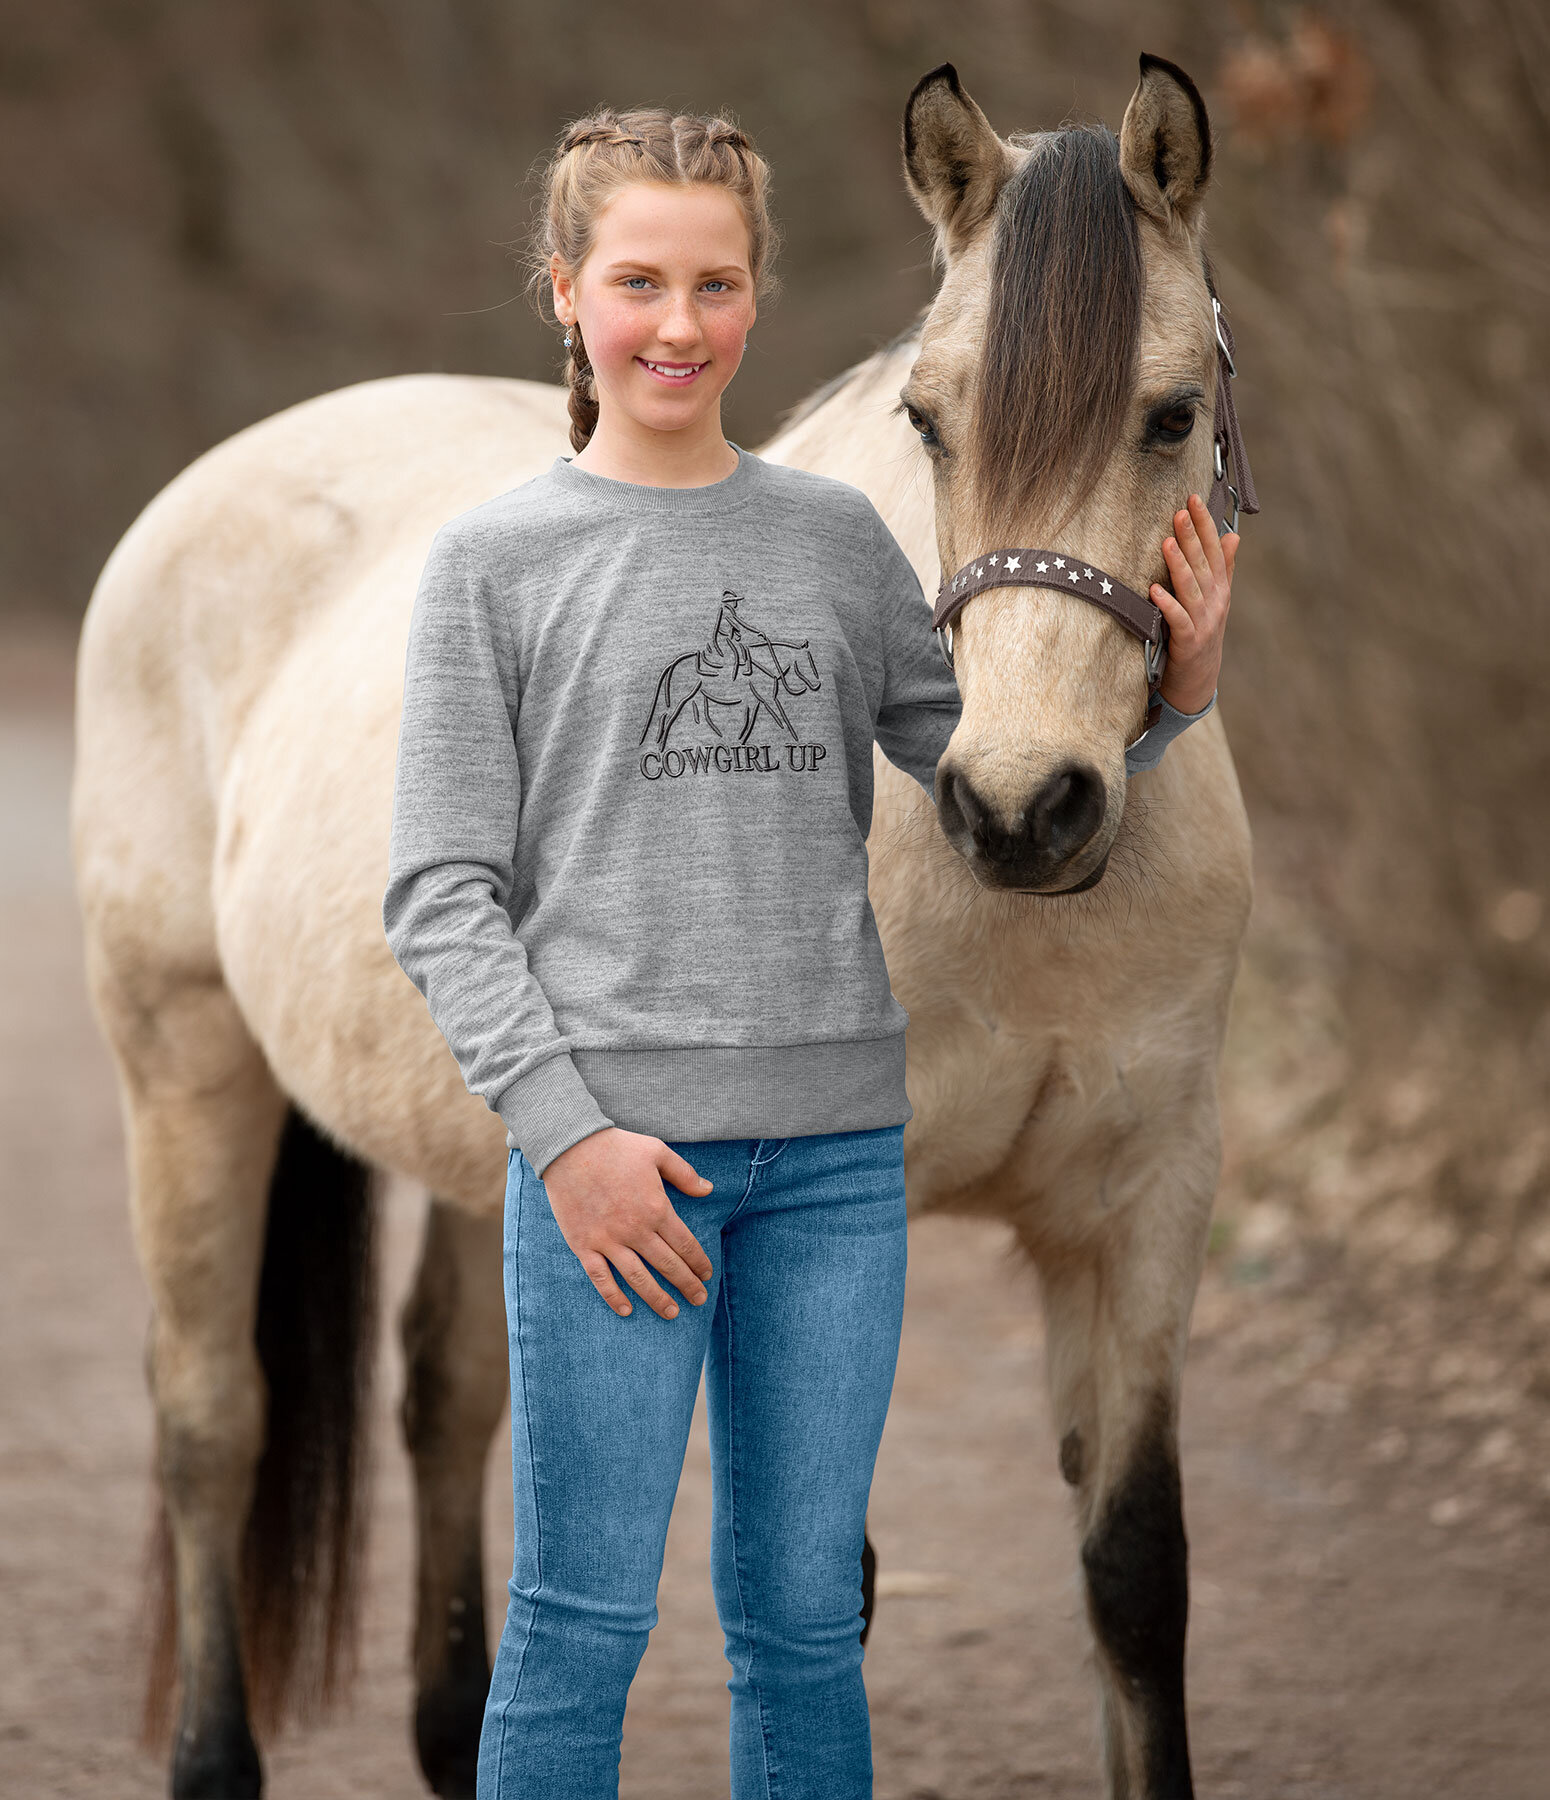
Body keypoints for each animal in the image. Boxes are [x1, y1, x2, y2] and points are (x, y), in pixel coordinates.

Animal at [72, 49, 1252, 1792]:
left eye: (1168, 414)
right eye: (928, 417)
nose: (1017, 806)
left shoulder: (1141, 1215)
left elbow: (1134, 1580)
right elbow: (827, 1577)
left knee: (447, 1397)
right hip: (183, 1062)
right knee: (213, 1419)